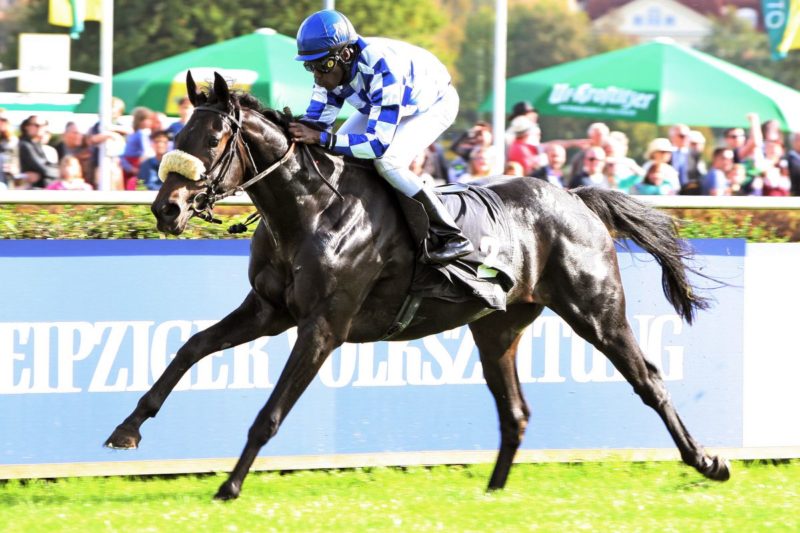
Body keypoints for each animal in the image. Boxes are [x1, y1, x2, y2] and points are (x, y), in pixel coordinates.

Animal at [104, 71, 732, 498]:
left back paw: (707, 461)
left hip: (596, 310)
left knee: (648, 380)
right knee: (515, 411)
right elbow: (190, 348)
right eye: (178, 130)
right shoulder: (268, 310)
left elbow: (270, 412)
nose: (166, 208)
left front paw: (229, 486)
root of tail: (575, 196)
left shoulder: (323, 326)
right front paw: (126, 430)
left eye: (213, 140)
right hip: (497, 328)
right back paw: (493, 493)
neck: (310, 210)